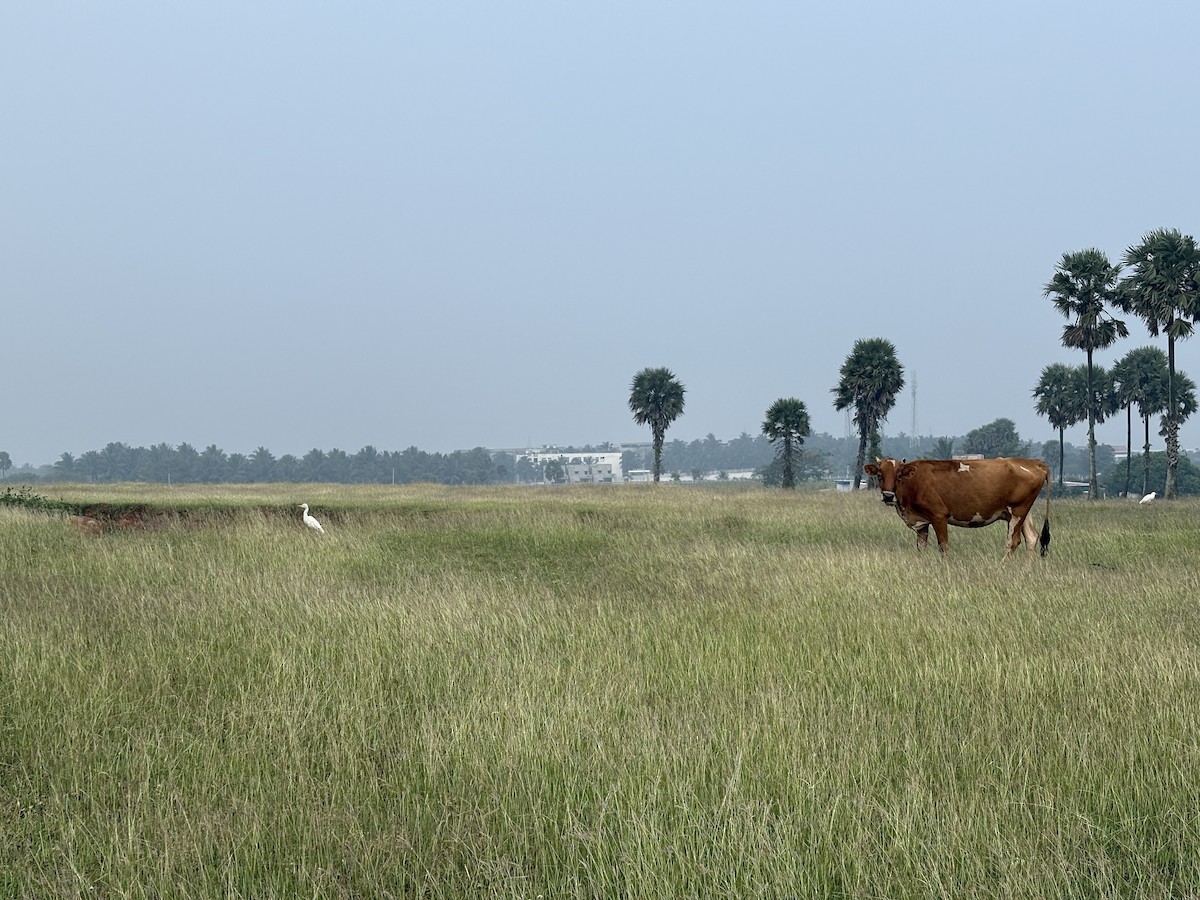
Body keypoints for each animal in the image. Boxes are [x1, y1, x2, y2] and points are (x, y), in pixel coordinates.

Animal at [862, 457, 1051, 558]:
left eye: (899, 475)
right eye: (879, 474)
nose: (888, 496)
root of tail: (1033, 462)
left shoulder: (939, 516)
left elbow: (944, 546)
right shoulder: (922, 522)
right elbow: (921, 547)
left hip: (1017, 511)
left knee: (1013, 541)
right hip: (1023, 512)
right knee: (1031, 537)